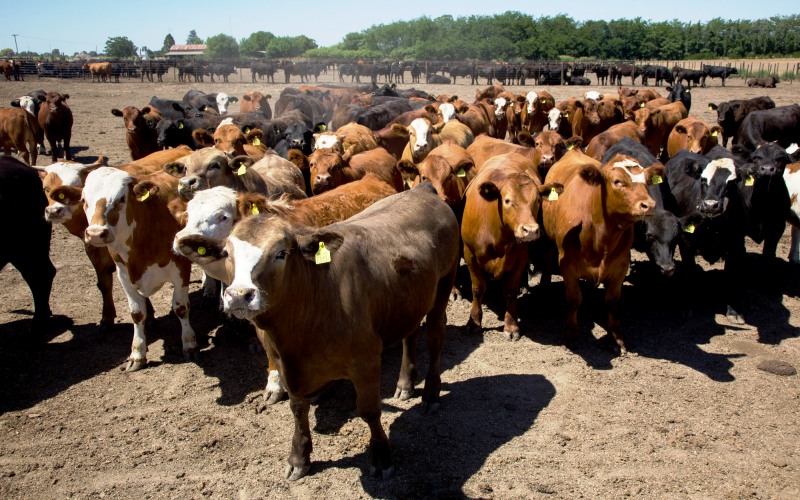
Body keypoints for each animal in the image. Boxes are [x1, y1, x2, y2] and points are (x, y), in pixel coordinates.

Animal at [460, 152, 564, 340]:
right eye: (507, 200)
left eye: (538, 200)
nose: (530, 230)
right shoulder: (469, 253)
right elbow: (478, 289)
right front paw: (474, 322)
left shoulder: (520, 257)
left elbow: (510, 291)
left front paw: (511, 325)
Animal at [540, 149, 664, 356]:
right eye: (617, 181)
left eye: (647, 181)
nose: (649, 205)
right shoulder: (567, 264)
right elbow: (574, 299)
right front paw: (571, 334)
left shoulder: (620, 266)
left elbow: (612, 303)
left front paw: (615, 338)